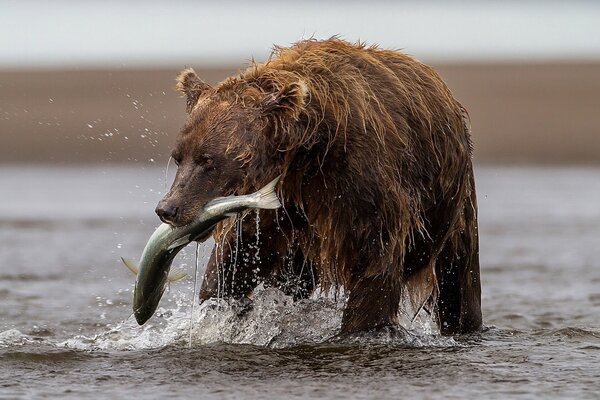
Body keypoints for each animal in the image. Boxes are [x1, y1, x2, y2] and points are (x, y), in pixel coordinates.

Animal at [156, 39, 482, 336]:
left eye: (208, 160)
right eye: (178, 157)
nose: (168, 208)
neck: (307, 148)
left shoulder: (362, 182)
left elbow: (375, 261)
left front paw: (361, 328)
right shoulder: (278, 199)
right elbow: (238, 254)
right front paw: (219, 306)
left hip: (452, 205)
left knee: (459, 281)